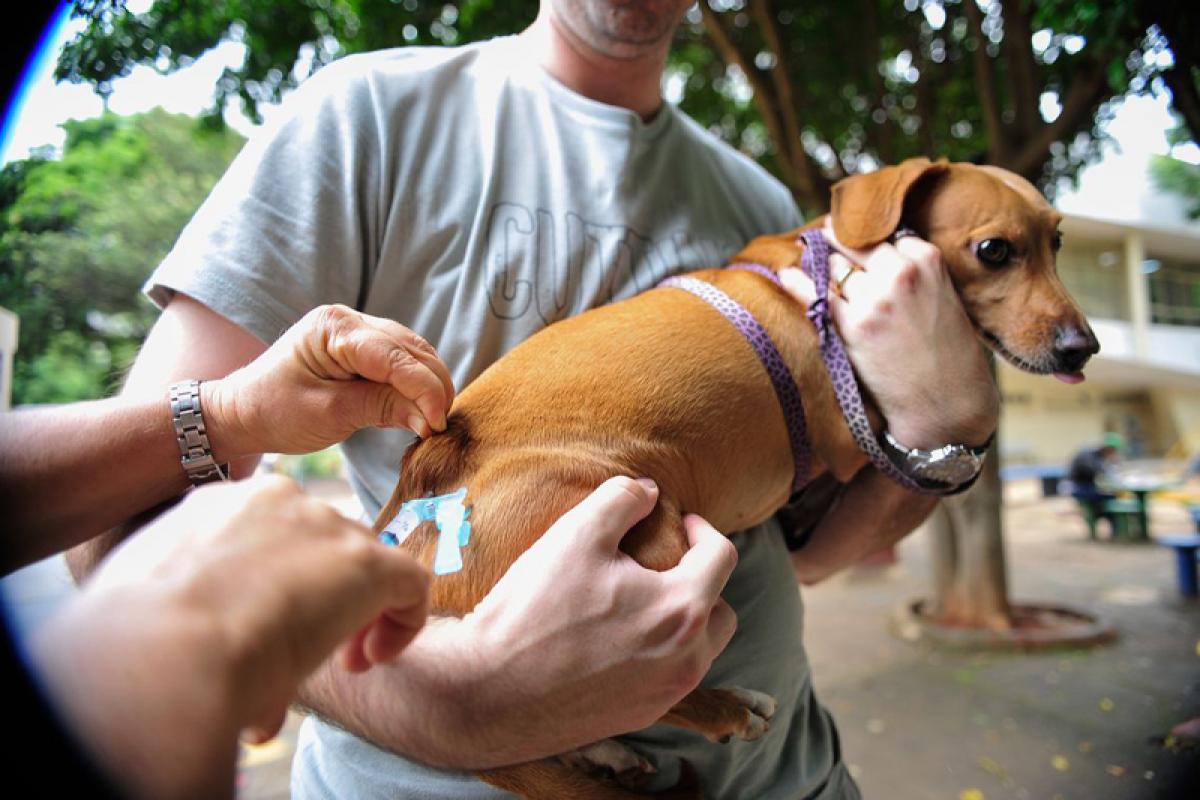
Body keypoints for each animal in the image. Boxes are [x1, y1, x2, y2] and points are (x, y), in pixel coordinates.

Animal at [372, 158, 1099, 800]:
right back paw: (722, 709)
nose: (1083, 348)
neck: (823, 270)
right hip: (651, 538)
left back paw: (605, 753)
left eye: (1058, 242)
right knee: (625, 693)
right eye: (994, 250)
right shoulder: (852, 440)